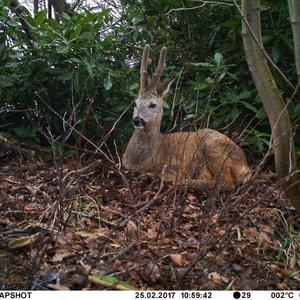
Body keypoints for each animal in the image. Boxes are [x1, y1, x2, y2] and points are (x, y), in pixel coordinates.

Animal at [122, 44, 251, 190]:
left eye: (152, 104)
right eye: (135, 103)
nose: (137, 120)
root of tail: (246, 167)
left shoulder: (176, 166)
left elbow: (165, 173)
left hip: (211, 142)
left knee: (226, 183)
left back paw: (185, 182)